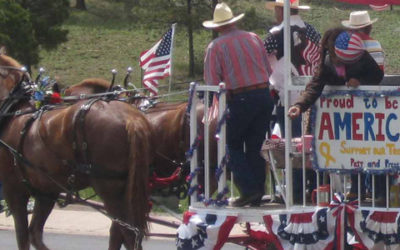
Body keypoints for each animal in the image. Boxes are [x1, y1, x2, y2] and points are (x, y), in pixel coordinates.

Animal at [0, 55, 153, 250]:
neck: (17, 110)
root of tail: (131, 119)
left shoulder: (14, 191)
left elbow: (23, 237)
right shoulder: (46, 192)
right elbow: (35, 233)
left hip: (109, 189)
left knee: (127, 232)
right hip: (128, 187)